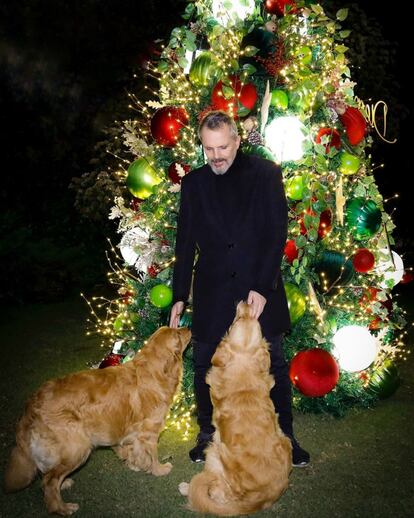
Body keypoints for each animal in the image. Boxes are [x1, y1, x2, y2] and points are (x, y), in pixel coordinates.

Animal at [4, 328, 192, 516]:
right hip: (78, 446)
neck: (153, 371)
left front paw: (134, 463)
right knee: (49, 480)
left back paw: (64, 484)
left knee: (48, 473)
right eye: (177, 334)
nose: (188, 328)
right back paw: (62, 507)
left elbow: (131, 450)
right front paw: (159, 470)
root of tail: (31, 404)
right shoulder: (149, 432)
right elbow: (152, 455)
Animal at [179, 302, 292, 516]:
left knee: (214, 489)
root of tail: (261, 497)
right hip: (284, 438)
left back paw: (186, 487)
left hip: (215, 450)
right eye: (247, 318)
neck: (243, 366)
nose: (248, 303)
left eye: (236, 320)